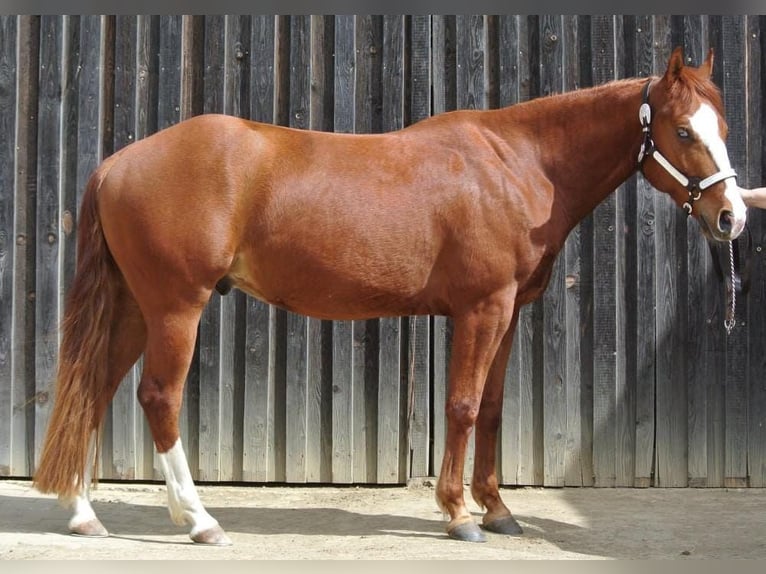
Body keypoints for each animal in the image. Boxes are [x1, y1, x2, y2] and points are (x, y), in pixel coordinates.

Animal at [33, 47, 746, 544]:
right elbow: (462, 405)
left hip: (135, 308)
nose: (732, 217)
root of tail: (118, 163)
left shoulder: (509, 312)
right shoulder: (481, 309)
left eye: (722, 125)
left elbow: (492, 409)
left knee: (92, 392)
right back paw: (200, 520)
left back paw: (83, 514)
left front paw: (499, 509)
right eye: (683, 131)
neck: (517, 164)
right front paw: (459, 515)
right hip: (177, 306)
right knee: (158, 397)